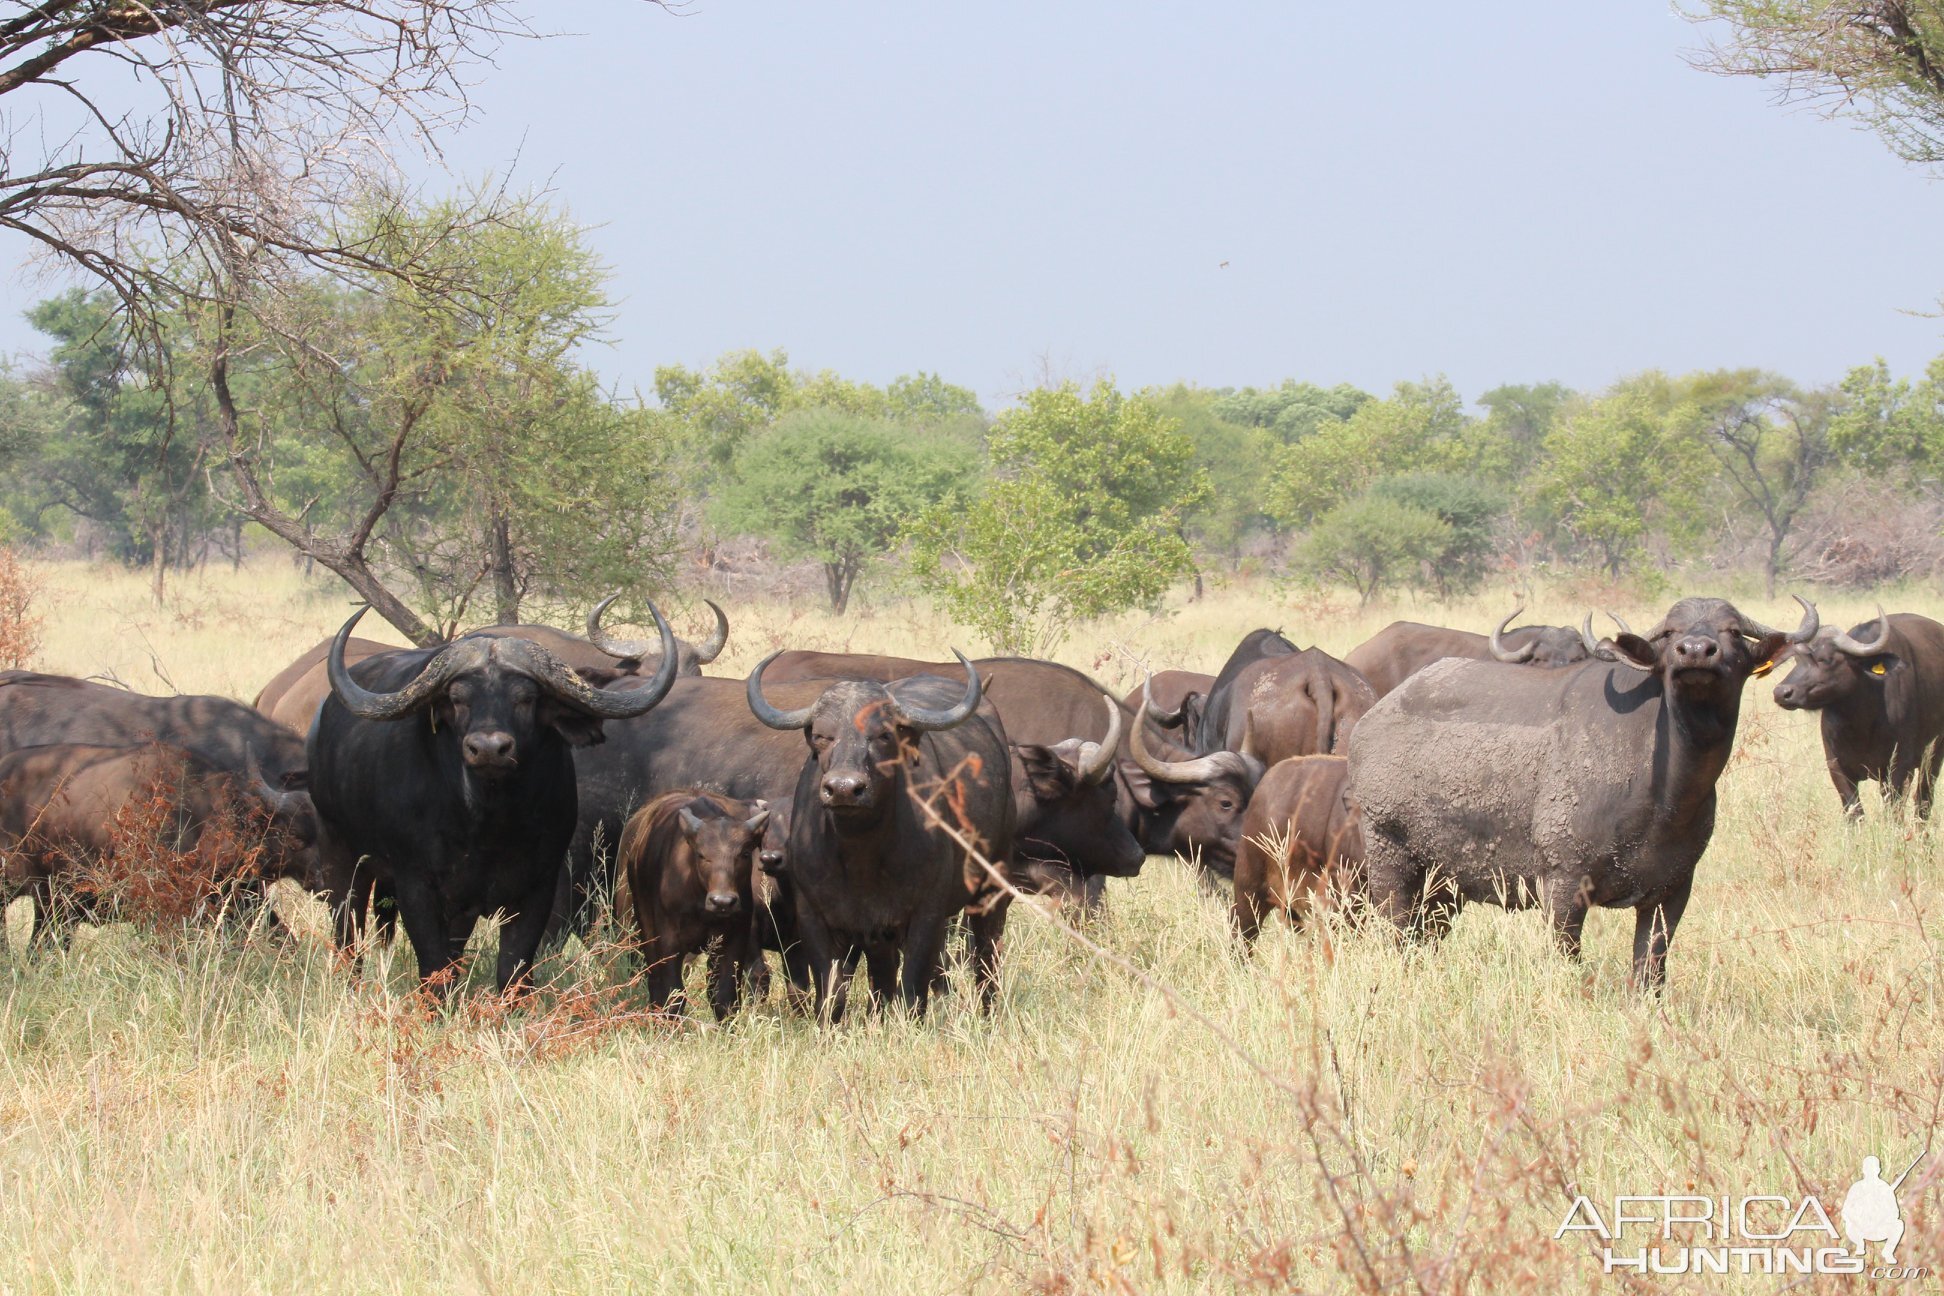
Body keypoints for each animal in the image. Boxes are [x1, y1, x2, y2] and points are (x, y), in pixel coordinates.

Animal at [312, 606, 684, 994]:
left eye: (526, 698)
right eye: (458, 699)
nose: (489, 748)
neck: (487, 824)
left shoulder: (538, 887)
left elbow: (513, 969)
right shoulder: (415, 885)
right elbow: (433, 967)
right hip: (339, 855)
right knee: (347, 929)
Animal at [746, 652, 1018, 1018]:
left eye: (883, 735)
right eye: (822, 735)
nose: (844, 788)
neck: (861, 854)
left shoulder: (927, 915)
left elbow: (913, 990)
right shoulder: (816, 919)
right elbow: (832, 993)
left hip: (992, 889)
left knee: (986, 958)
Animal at [1345, 598, 1811, 994]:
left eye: (1731, 630)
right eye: (1670, 632)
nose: (1695, 651)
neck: (1662, 789)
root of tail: (1372, 722)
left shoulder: (1674, 890)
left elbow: (1651, 968)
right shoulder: (1564, 884)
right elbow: (1566, 957)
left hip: (1445, 884)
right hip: (1390, 855)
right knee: (1396, 928)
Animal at [1772, 610, 1944, 816]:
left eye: (1826, 659)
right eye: (1798, 659)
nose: (1782, 692)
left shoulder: (1899, 765)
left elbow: (1894, 810)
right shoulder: (1837, 767)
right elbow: (1855, 811)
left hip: (1933, 756)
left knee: (1924, 799)